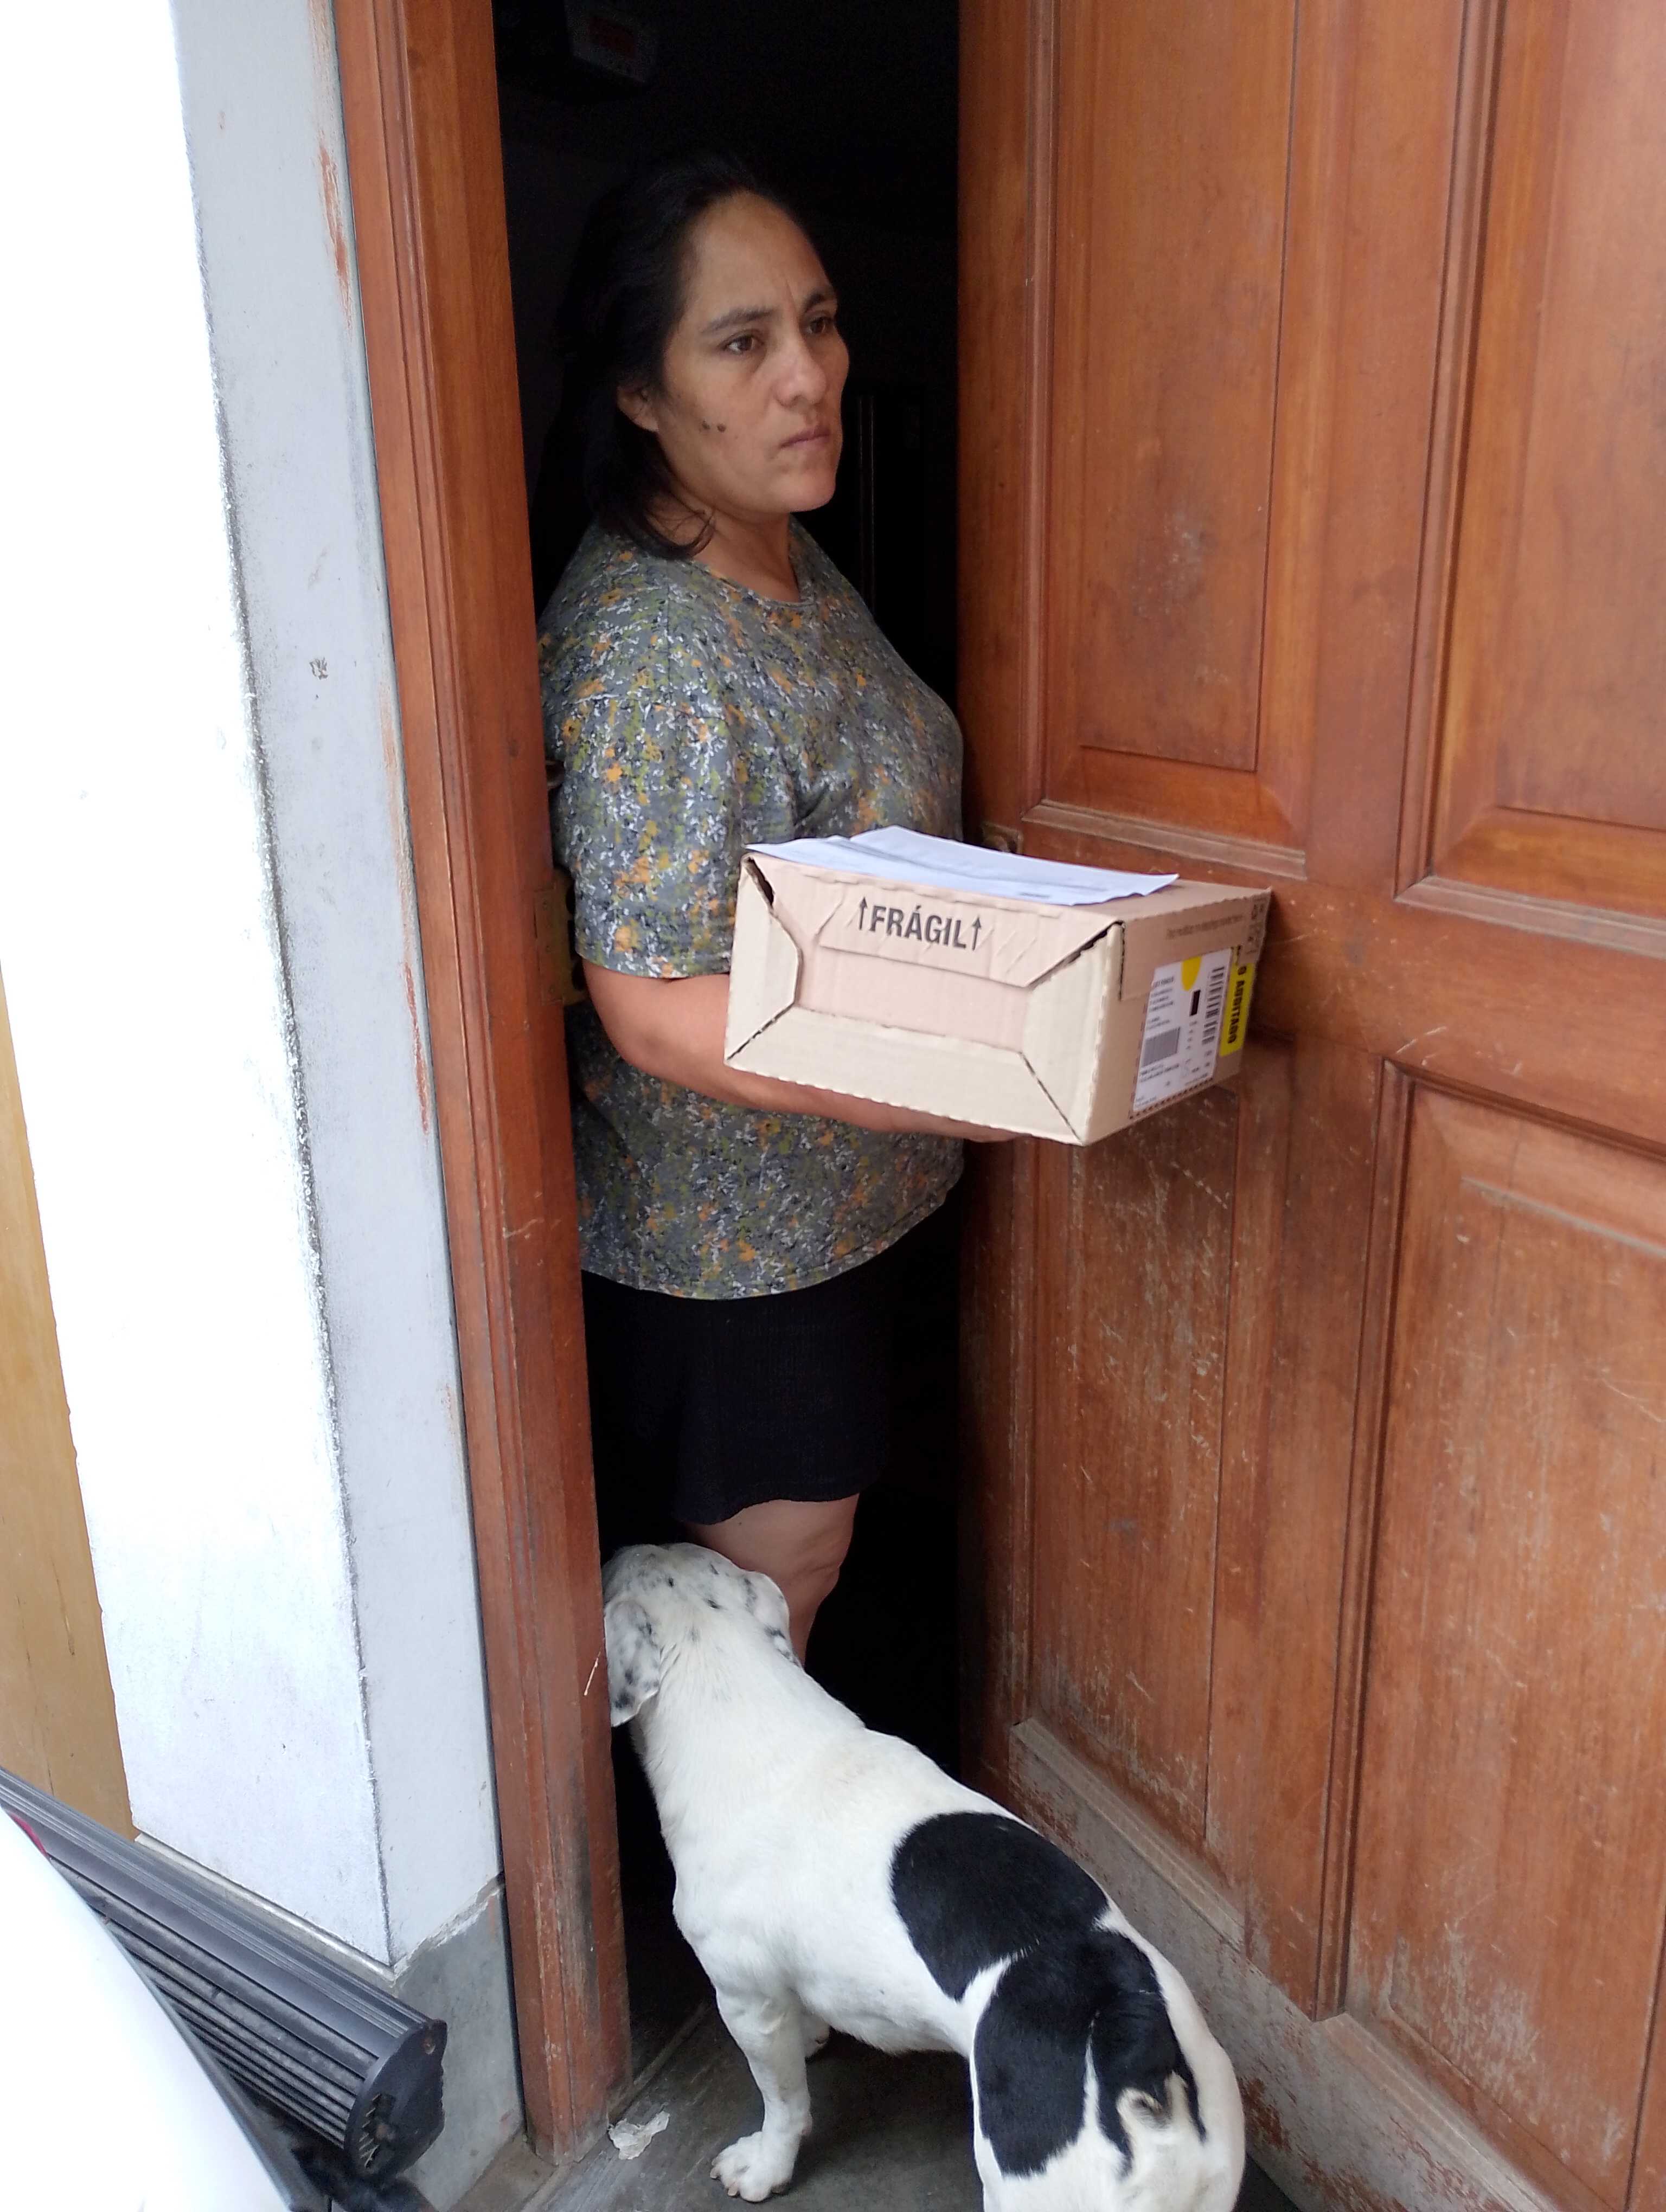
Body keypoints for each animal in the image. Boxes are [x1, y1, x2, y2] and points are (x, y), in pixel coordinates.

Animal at [603, 1542, 1244, 2210]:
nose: (623, 1541)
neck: (731, 1680)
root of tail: (1139, 2069)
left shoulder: (745, 1998)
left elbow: (783, 2103)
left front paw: (762, 2167)